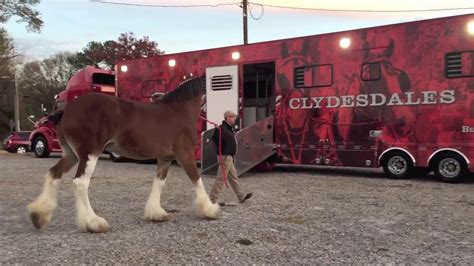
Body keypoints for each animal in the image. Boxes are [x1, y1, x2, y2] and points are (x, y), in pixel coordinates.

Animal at [26, 77, 218, 233]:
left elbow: (159, 183)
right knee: (80, 183)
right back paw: (93, 223)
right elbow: (196, 179)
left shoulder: (165, 158)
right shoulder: (185, 155)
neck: (181, 110)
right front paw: (210, 209)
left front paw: (155, 213)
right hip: (89, 154)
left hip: (71, 155)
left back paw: (39, 215)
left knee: (54, 173)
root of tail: (66, 110)